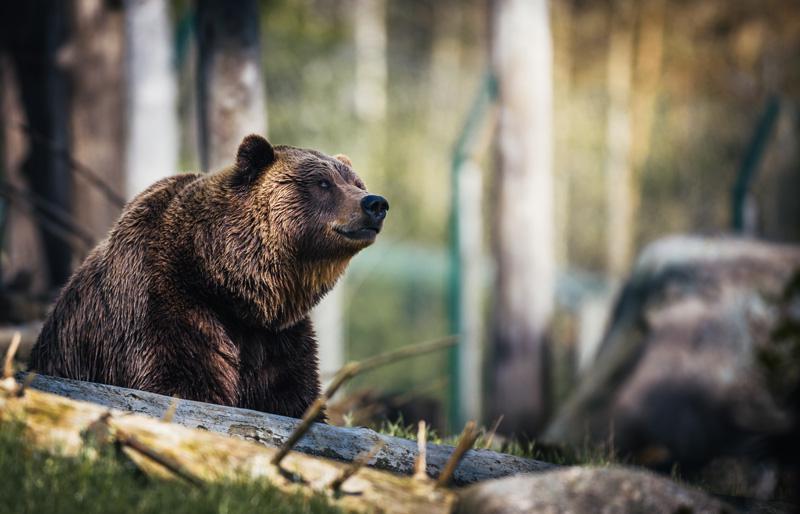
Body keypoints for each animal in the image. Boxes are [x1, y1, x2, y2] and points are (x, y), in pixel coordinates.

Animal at [29, 134, 388, 418]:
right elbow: (181, 382)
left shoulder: (277, 338)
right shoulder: (165, 305)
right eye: (323, 183)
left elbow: (291, 396)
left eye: (357, 183)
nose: (375, 203)